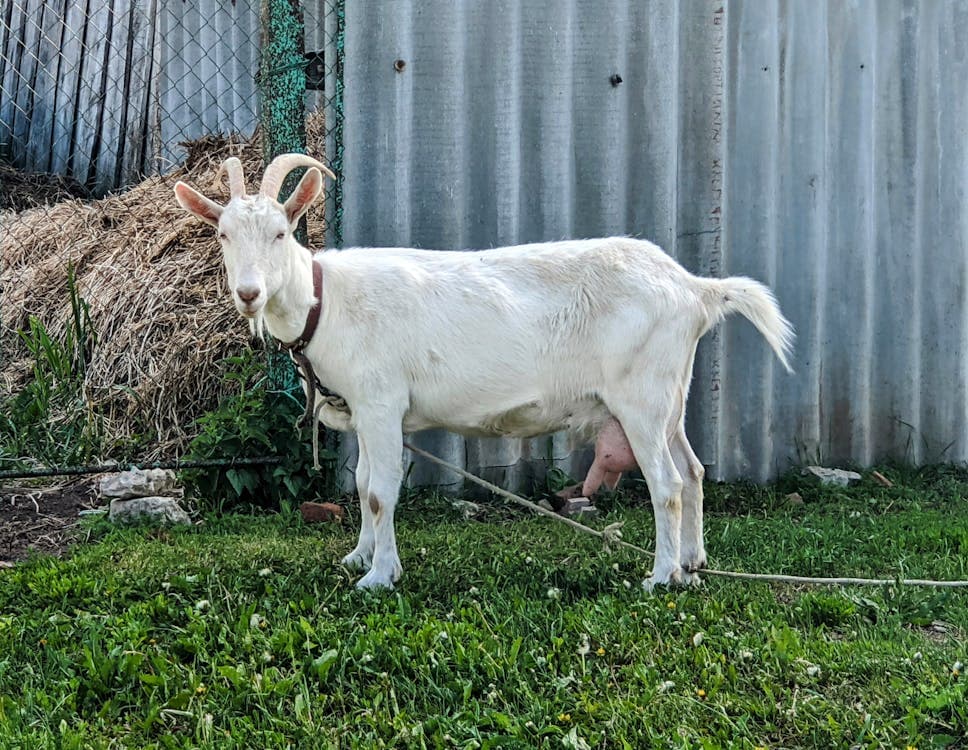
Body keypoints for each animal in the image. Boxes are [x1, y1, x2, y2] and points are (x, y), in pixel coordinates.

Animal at [174, 154, 794, 590]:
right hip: (670, 395)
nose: (249, 293)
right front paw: (359, 555)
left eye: (281, 233)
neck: (327, 302)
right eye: (223, 234)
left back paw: (660, 576)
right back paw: (693, 561)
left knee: (667, 483)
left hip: (640, 397)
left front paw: (379, 577)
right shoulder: (367, 409)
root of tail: (694, 288)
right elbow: (362, 482)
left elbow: (379, 491)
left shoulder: (381, 402)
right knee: (693, 471)